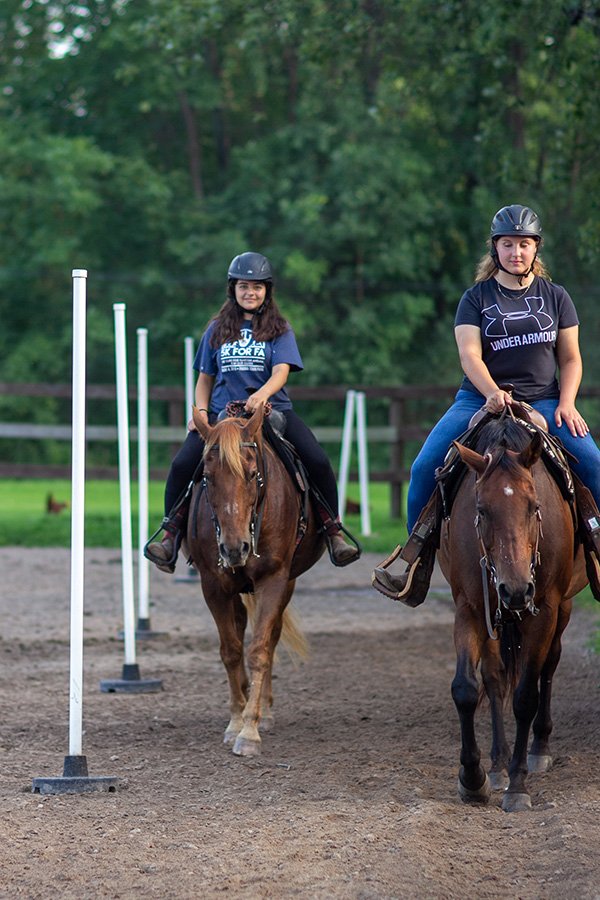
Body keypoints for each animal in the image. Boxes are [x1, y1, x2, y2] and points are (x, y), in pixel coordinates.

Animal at [184, 400, 326, 752]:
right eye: (206, 476)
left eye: (252, 474)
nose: (235, 548)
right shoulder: (213, 585)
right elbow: (231, 650)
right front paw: (236, 719)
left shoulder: (274, 579)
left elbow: (259, 650)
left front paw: (250, 730)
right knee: (238, 628)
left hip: (287, 583)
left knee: (271, 637)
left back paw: (265, 708)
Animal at [436, 414, 584, 816]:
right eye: (481, 510)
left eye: (534, 505)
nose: (515, 590)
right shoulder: (470, 608)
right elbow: (466, 688)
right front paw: (474, 778)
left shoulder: (545, 609)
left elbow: (525, 697)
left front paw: (518, 785)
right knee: (495, 677)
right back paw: (498, 764)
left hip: (561, 609)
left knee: (549, 666)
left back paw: (538, 749)